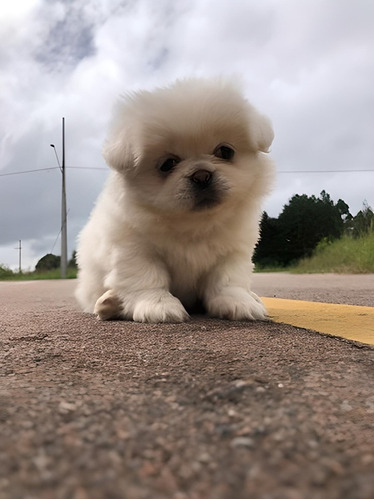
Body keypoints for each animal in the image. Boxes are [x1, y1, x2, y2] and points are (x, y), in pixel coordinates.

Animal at [76, 76, 274, 322]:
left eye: (225, 152)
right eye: (167, 164)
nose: (201, 175)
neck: (194, 224)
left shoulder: (231, 253)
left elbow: (227, 280)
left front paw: (239, 303)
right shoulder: (134, 250)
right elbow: (147, 278)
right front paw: (158, 306)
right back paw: (110, 303)